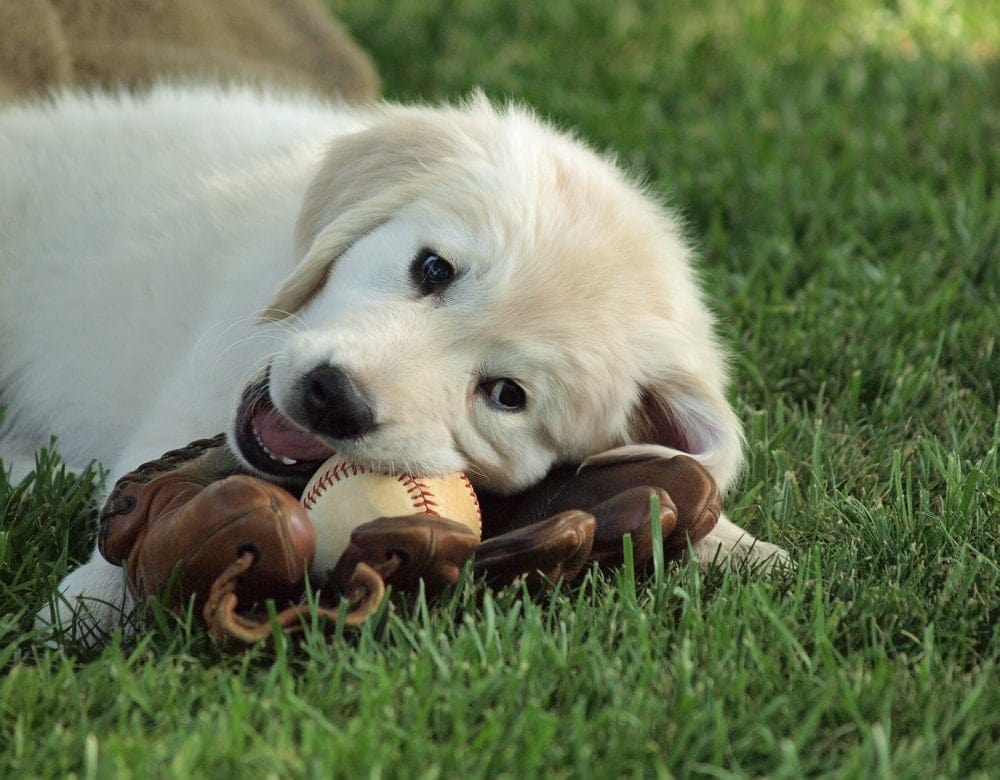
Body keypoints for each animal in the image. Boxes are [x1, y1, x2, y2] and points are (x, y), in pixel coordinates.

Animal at [0, 88, 788, 644]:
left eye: (507, 395)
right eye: (432, 268)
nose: (332, 398)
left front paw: (741, 546)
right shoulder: (196, 384)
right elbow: (141, 489)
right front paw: (92, 602)